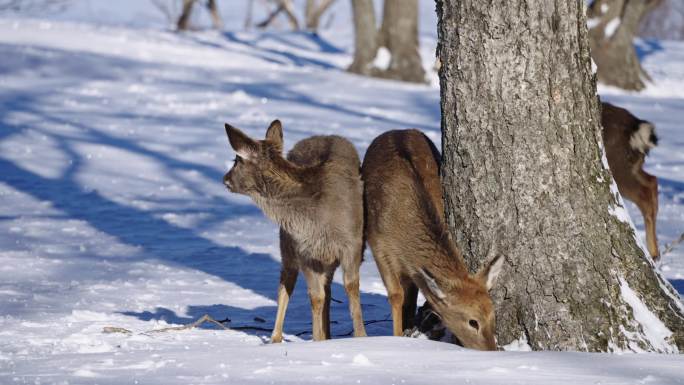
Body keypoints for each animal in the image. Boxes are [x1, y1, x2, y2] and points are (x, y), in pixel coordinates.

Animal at [223, 120, 368, 342]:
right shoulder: (305, 251)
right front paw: (317, 340)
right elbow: (315, 297)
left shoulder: (353, 243)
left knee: (325, 287)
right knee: (287, 284)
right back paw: (276, 338)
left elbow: (351, 286)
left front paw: (361, 336)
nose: (225, 179)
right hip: (287, 244)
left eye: (236, 160)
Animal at [364, 130, 502, 352]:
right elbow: (396, 294)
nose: (491, 350)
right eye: (473, 322)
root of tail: (397, 130)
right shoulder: (378, 244)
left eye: (493, 315)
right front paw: (396, 337)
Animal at [600, 100, 660, 260]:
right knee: (652, 181)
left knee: (644, 195)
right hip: (633, 166)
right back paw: (654, 252)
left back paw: (653, 253)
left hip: (617, 166)